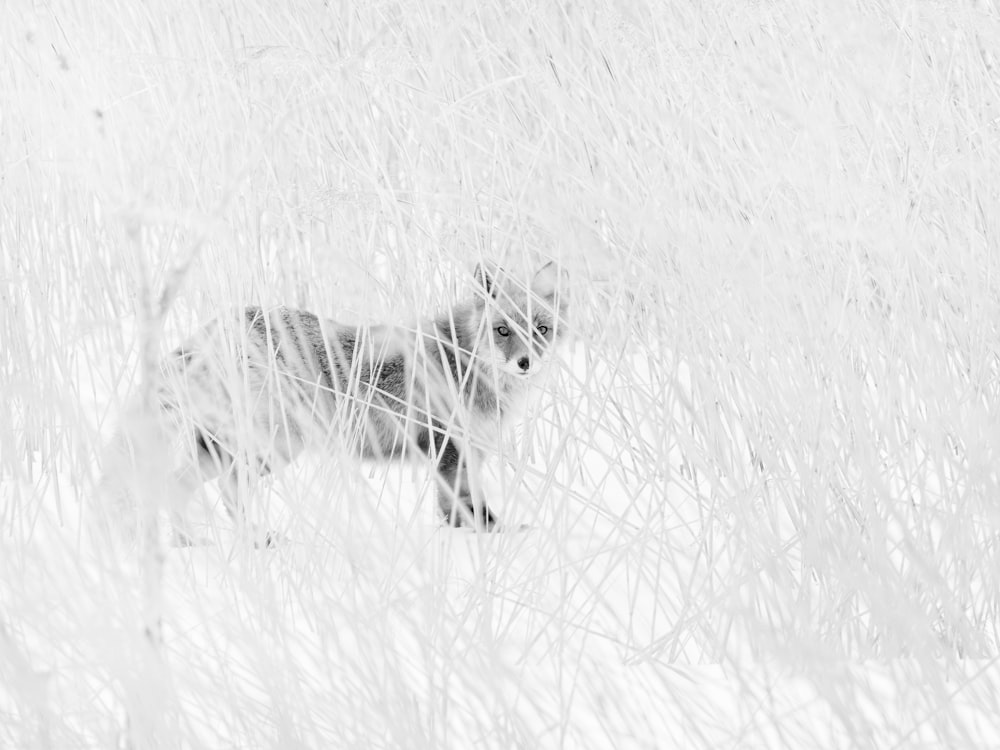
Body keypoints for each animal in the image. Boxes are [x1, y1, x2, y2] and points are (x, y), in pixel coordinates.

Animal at [101, 262, 572, 548]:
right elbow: (468, 509)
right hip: (274, 447)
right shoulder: (448, 450)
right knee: (228, 492)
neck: (464, 363)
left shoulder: (464, 453)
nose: (526, 363)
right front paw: (491, 537)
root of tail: (218, 328)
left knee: (176, 485)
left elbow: (458, 510)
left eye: (540, 329)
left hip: (222, 448)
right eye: (503, 330)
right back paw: (256, 539)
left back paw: (188, 543)